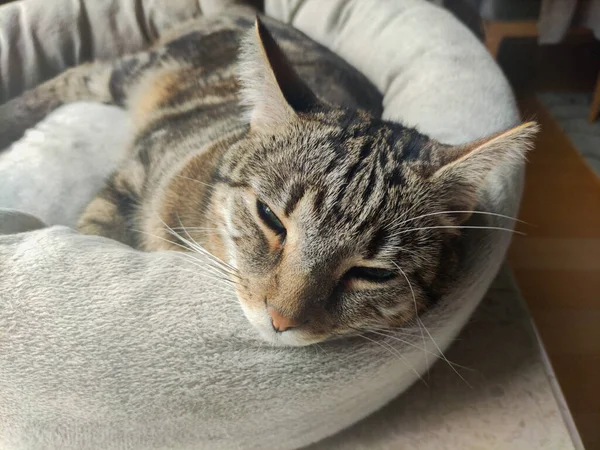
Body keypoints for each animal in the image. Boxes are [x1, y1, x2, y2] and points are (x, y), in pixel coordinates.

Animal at [0, 10, 536, 348]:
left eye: (375, 273)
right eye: (269, 218)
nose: (280, 319)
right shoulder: (139, 165)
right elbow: (97, 224)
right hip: (131, 73)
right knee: (81, 73)